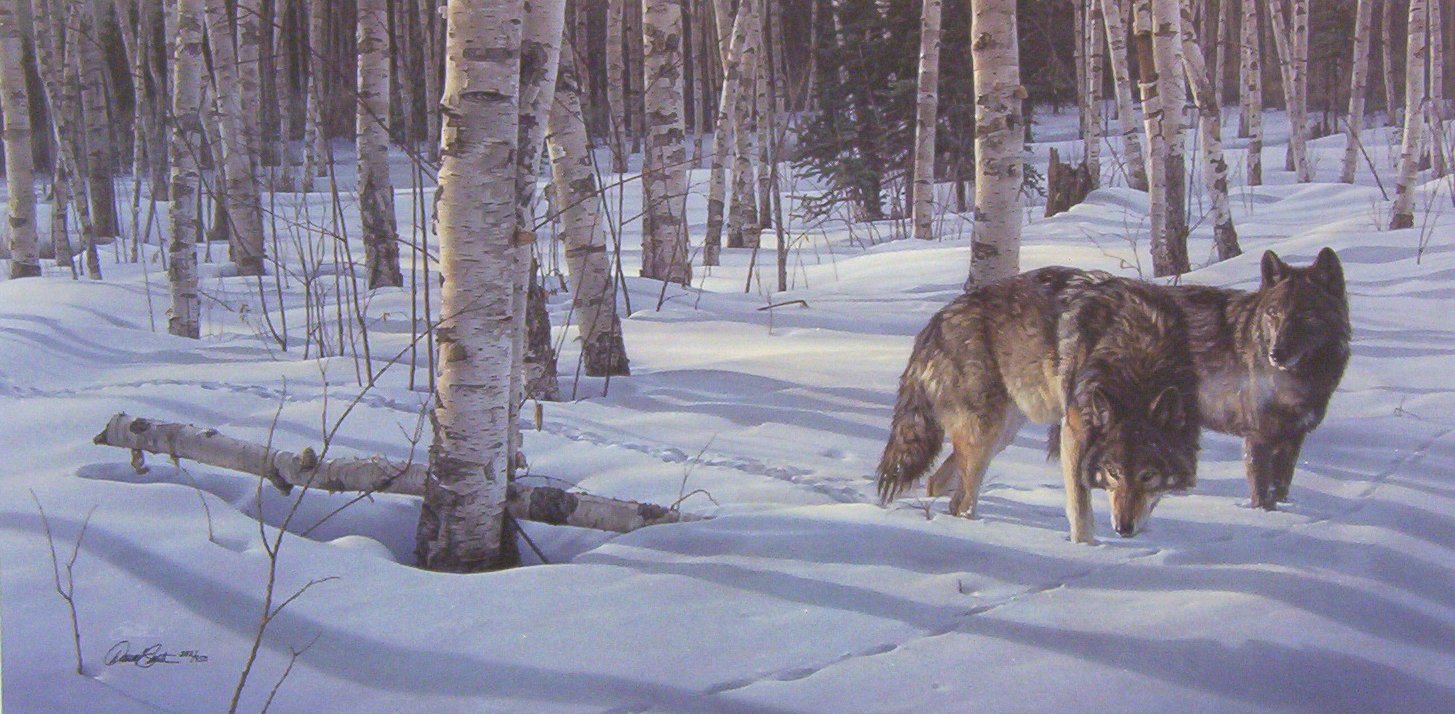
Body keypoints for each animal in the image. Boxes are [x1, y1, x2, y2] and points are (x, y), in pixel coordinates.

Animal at [876, 268, 1200, 543]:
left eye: (1147, 476)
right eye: (1114, 472)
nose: (1123, 529)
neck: (1138, 350)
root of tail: (932, 325)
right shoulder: (1074, 432)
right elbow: (1080, 510)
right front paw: (1087, 550)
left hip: (1002, 434)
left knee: (936, 482)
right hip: (985, 433)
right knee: (961, 502)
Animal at [1165, 248, 1350, 509]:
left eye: (1306, 314)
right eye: (1274, 313)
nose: (1276, 354)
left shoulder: (1293, 438)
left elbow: (1281, 485)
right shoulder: (1258, 437)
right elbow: (1262, 490)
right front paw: (1262, 513)